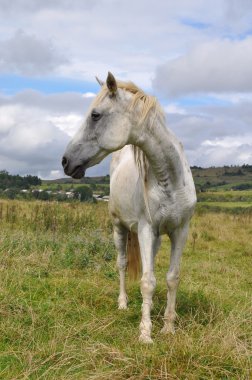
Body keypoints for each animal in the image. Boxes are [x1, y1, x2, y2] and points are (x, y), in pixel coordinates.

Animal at [62, 72, 196, 344]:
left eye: (95, 115)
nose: (65, 161)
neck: (171, 181)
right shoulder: (145, 229)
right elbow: (147, 282)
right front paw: (145, 333)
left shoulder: (180, 231)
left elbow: (171, 278)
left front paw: (168, 326)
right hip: (119, 228)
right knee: (122, 264)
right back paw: (123, 303)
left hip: (155, 237)